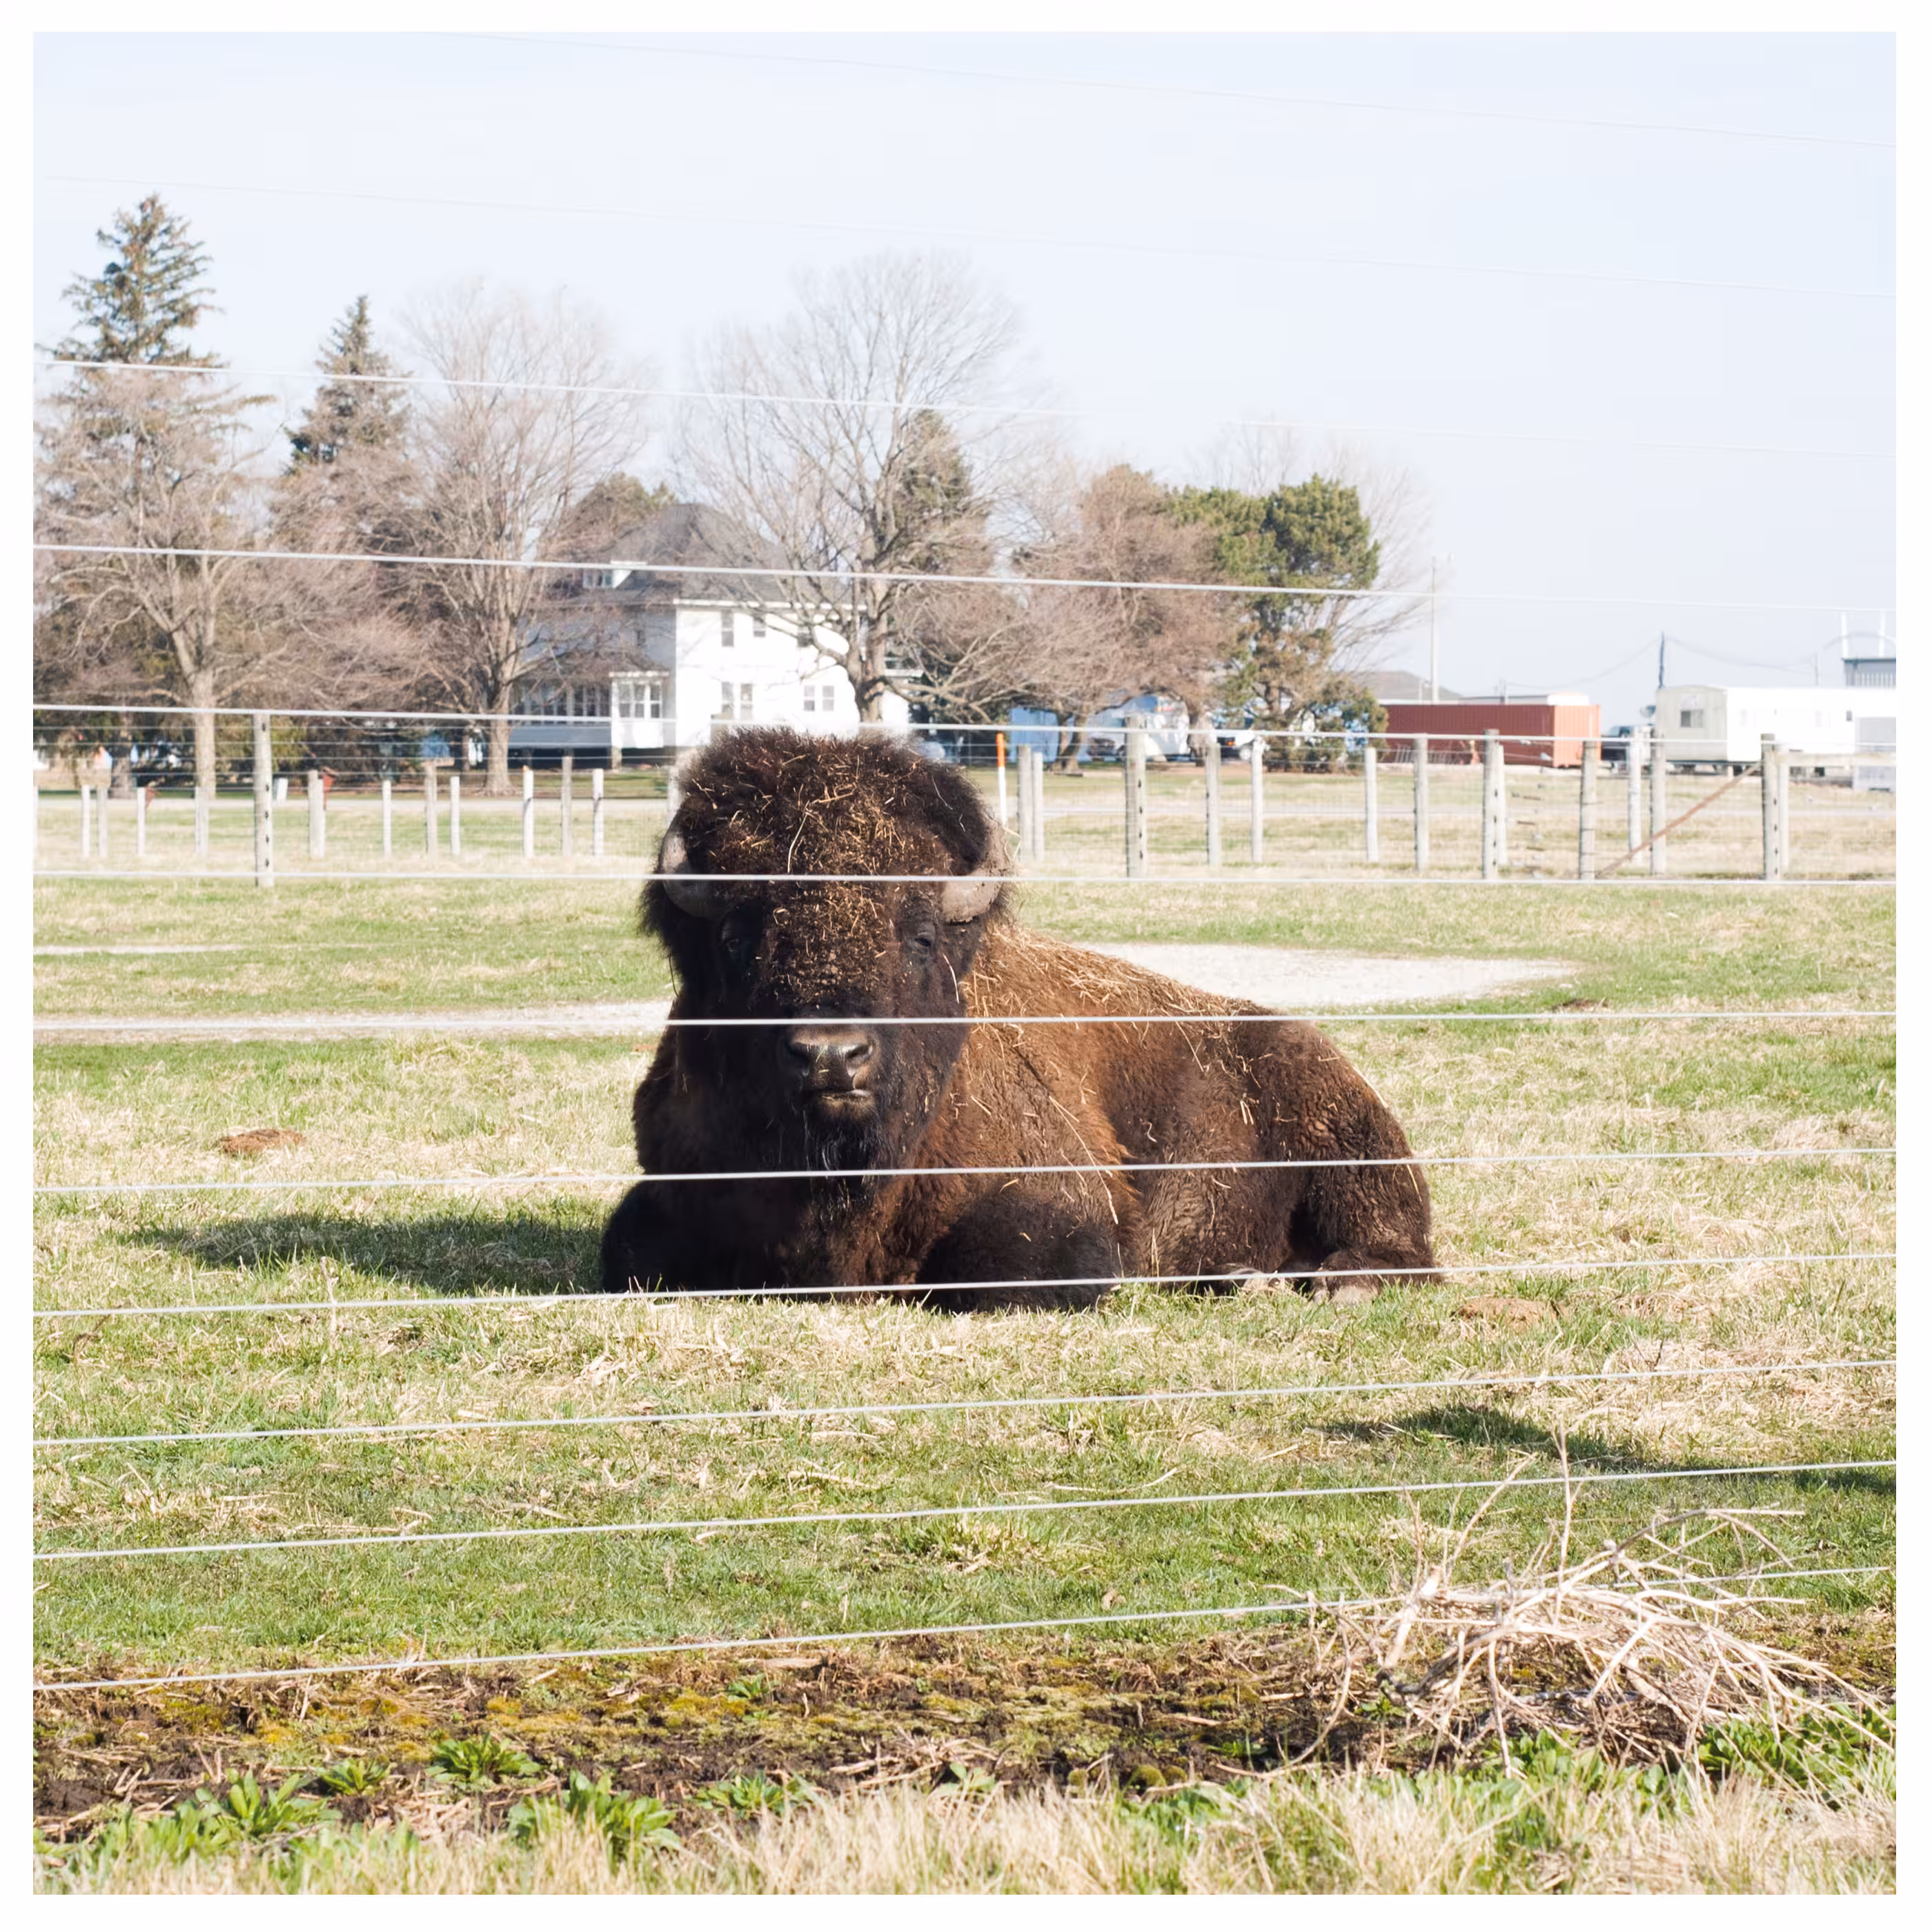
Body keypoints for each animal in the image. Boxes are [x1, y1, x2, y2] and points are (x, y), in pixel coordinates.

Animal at [600, 727, 1434, 1307]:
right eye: (738, 938)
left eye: (920, 935)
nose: (832, 1056)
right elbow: (627, 1255)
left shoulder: (1057, 1214)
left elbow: (999, 1280)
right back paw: (1242, 1276)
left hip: (1348, 1148)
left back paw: (1335, 1282)